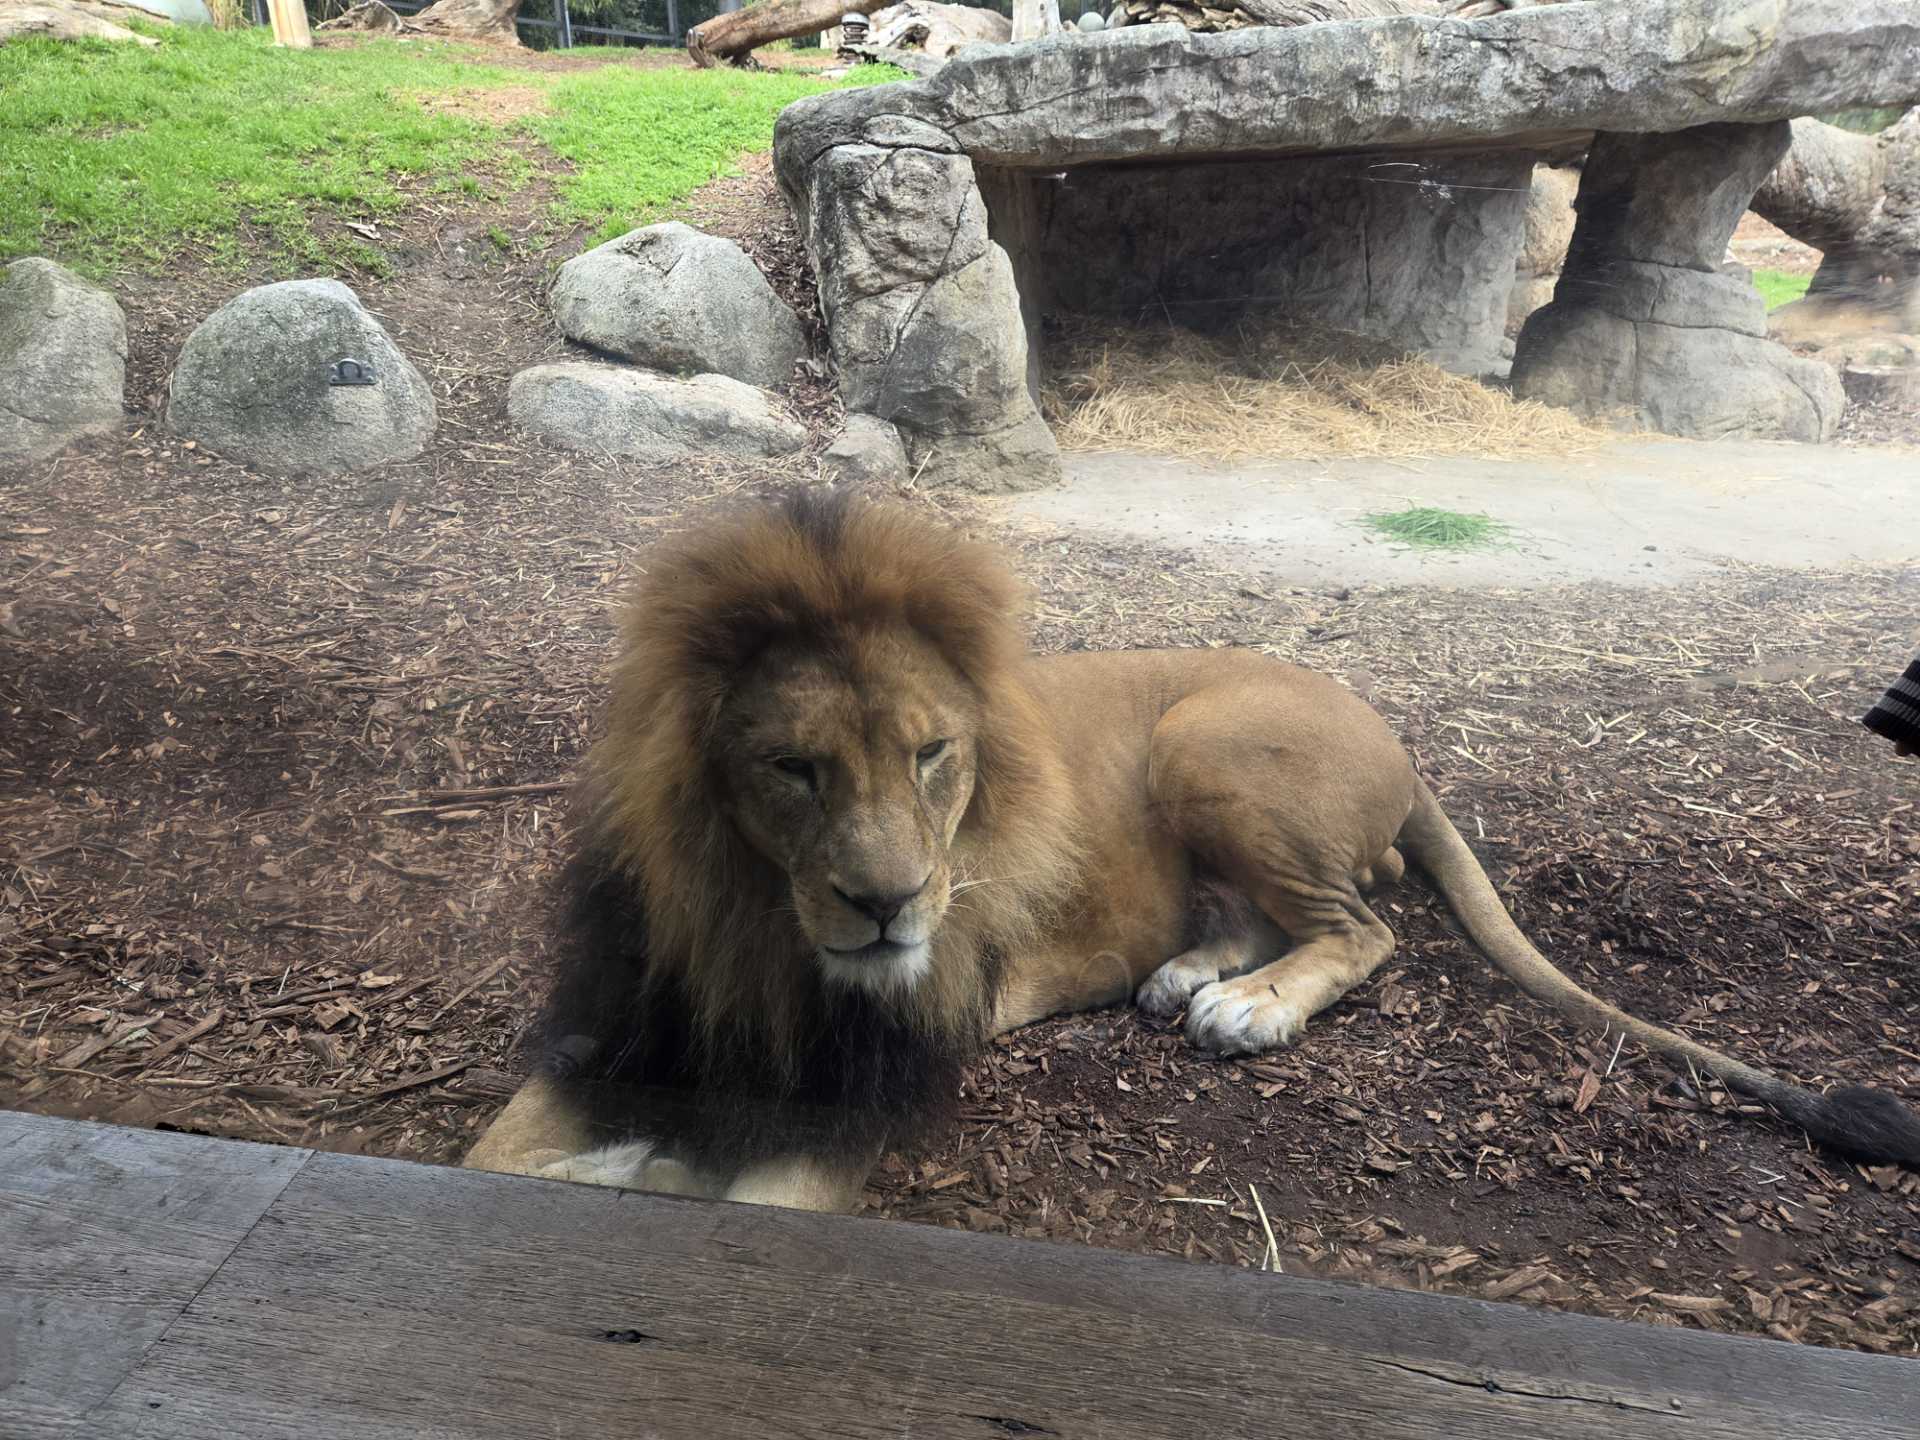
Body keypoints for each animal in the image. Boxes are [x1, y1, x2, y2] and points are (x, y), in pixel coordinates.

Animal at [465, 488, 1920, 1210]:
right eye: (792, 768)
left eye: (934, 755)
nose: (888, 906)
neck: (755, 927)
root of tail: (1395, 732)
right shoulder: (611, 1033)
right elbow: (498, 1157)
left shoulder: (866, 1089)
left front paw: (653, 1172)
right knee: (1289, 914)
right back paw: (1187, 978)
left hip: (1202, 741)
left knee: (1369, 925)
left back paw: (1247, 1010)